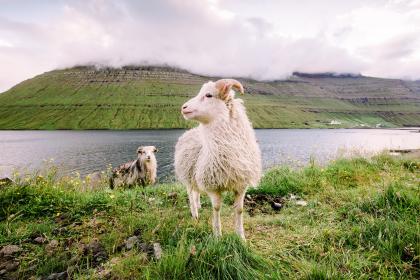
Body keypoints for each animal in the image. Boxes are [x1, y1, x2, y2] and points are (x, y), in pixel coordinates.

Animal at [173, 78, 260, 238]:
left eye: (208, 95)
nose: (184, 107)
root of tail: (190, 131)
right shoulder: (212, 185)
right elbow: (217, 208)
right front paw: (218, 235)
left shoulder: (241, 184)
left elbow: (239, 210)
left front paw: (241, 236)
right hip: (188, 174)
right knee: (190, 193)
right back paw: (195, 213)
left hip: (196, 173)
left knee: (196, 192)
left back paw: (198, 206)